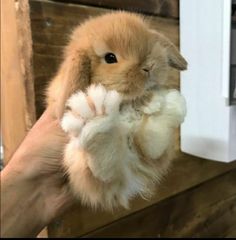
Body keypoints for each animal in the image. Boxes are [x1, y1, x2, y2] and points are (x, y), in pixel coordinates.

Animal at [45, 11, 186, 210]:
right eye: (110, 58)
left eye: (149, 43)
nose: (148, 67)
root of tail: (129, 180)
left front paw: (150, 100)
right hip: (76, 161)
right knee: (103, 171)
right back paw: (96, 115)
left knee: (151, 147)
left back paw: (167, 108)